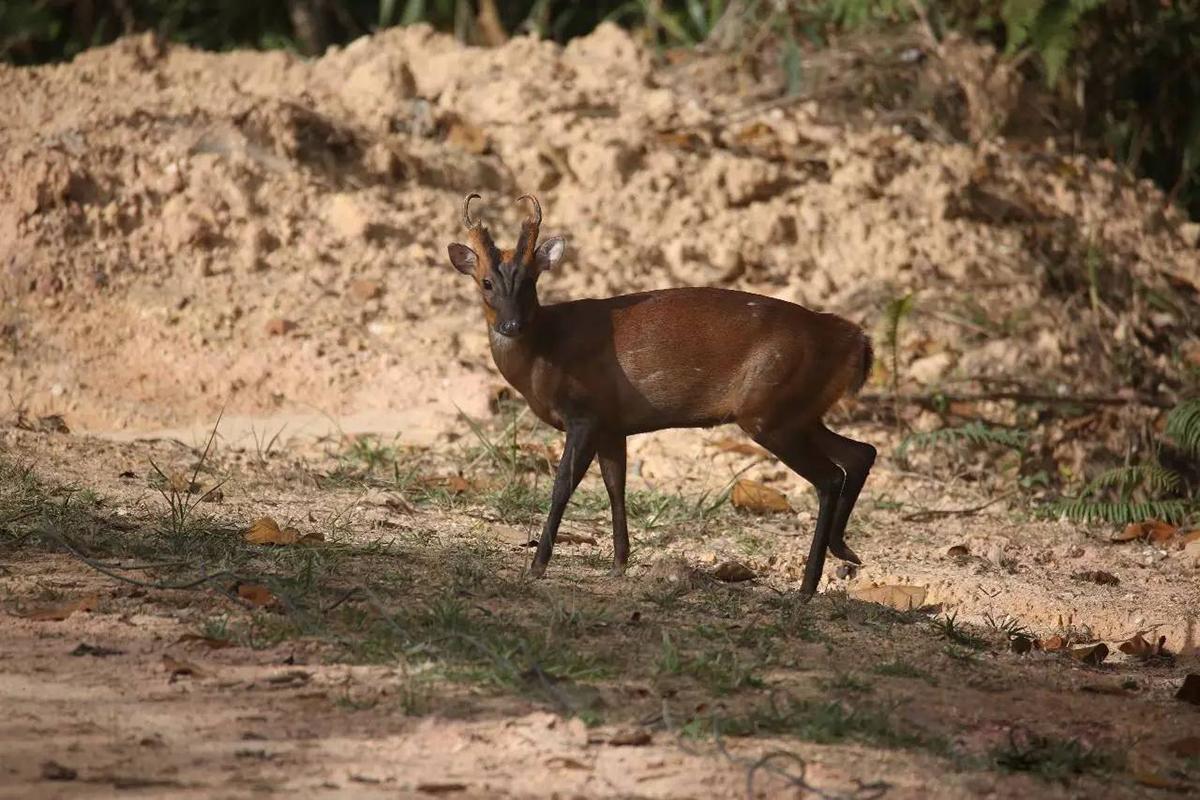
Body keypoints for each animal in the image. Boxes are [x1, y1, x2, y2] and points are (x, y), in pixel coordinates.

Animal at [446, 191, 878, 594]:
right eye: (486, 282)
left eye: (531, 280)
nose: (511, 325)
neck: (546, 348)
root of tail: (855, 340)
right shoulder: (611, 424)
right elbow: (615, 485)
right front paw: (619, 563)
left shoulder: (585, 412)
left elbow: (563, 485)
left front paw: (537, 566)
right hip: (796, 411)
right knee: (860, 453)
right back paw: (845, 551)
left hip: (771, 411)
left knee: (830, 477)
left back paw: (807, 586)